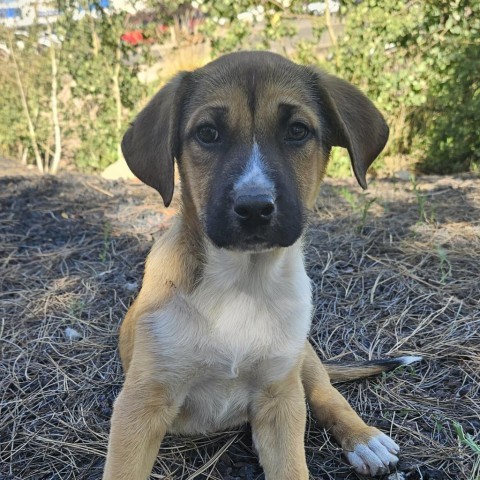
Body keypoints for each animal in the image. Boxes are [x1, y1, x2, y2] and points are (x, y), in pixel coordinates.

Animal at [104, 50, 420, 478]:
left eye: (298, 131)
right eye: (207, 133)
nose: (254, 207)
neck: (243, 283)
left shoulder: (280, 401)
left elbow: (293, 465)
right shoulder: (141, 404)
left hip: (302, 358)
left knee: (327, 395)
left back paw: (365, 440)